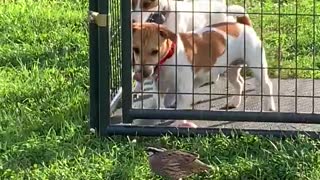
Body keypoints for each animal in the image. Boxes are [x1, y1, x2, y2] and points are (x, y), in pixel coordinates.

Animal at [131, 15, 276, 112]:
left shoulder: (184, 89)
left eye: (155, 51)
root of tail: (244, 25)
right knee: (239, 82)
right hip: (231, 68)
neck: (168, 58)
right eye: (135, 50)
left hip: (257, 65)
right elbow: (160, 102)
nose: (140, 75)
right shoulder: (159, 87)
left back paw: (270, 106)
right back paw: (234, 102)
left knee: (267, 84)